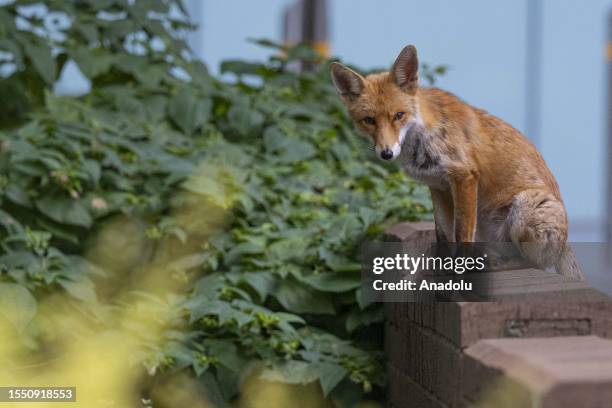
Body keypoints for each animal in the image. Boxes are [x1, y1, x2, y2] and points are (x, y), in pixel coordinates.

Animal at [332, 44, 584, 280]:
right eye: (369, 120)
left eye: (399, 115)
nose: (386, 153)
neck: (421, 139)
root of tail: (565, 244)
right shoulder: (438, 186)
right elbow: (444, 235)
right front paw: (441, 271)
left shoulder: (465, 178)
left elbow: (461, 234)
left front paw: (459, 273)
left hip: (524, 208)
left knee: (534, 264)